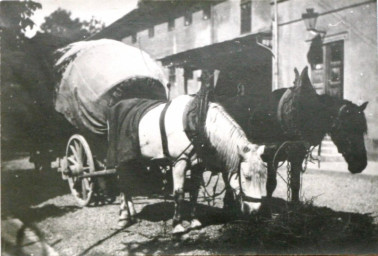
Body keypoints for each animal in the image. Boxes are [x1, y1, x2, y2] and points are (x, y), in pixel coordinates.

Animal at [118, 94, 266, 234]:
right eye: (247, 177)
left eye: (264, 178)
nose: (256, 210)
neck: (197, 124)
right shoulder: (179, 163)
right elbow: (179, 194)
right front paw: (177, 225)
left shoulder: (197, 166)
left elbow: (194, 192)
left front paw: (194, 221)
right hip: (121, 162)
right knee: (122, 185)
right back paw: (123, 218)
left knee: (128, 184)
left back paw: (132, 215)